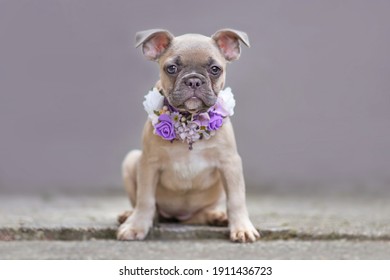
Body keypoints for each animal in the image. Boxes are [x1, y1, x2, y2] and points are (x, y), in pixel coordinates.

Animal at [117, 29, 260, 243]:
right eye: (172, 68)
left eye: (215, 69)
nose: (193, 80)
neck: (189, 120)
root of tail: (177, 217)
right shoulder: (148, 164)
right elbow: (145, 199)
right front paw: (136, 226)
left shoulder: (229, 164)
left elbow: (236, 199)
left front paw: (242, 227)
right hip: (131, 160)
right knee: (148, 207)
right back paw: (129, 215)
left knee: (200, 215)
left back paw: (216, 216)